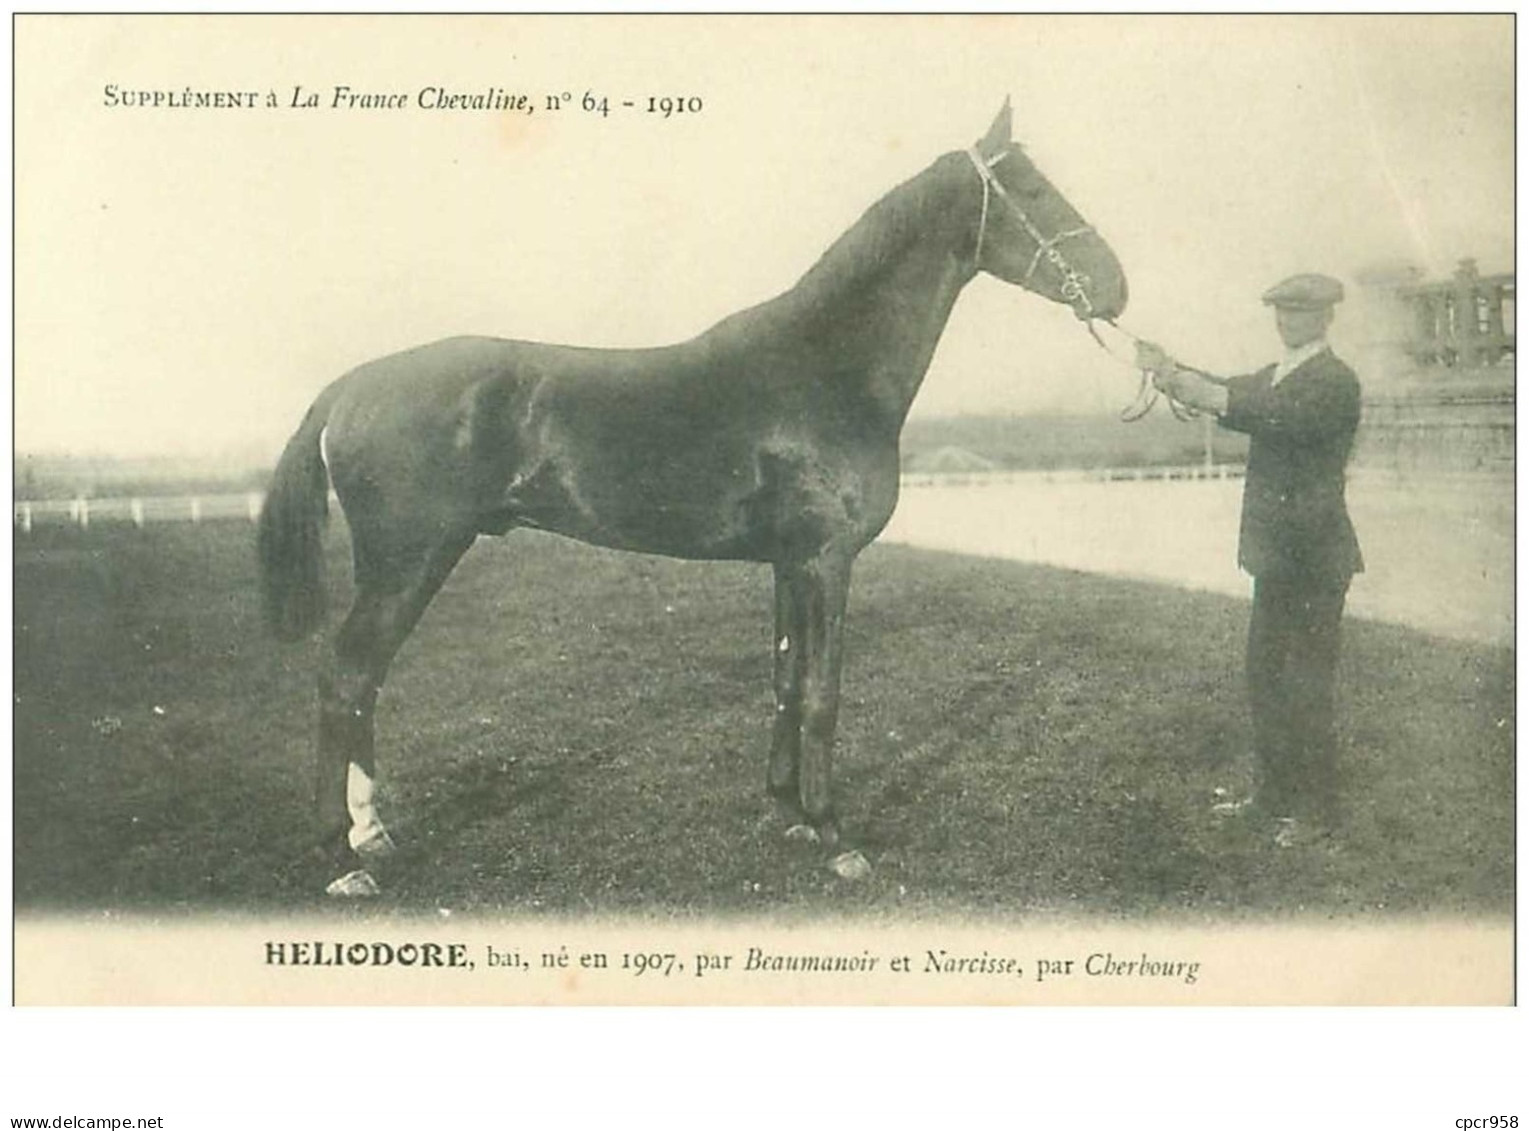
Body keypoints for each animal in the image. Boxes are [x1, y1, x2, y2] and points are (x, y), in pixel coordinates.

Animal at [259, 101, 1125, 898]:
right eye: (1033, 190)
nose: (1115, 288)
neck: (827, 366)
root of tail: (350, 386)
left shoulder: (788, 564)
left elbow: (784, 682)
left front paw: (786, 810)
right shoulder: (827, 560)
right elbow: (822, 693)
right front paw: (834, 835)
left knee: (365, 679)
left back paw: (374, 832)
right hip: (410, 559)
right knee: (345, 675)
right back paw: (341, 855)